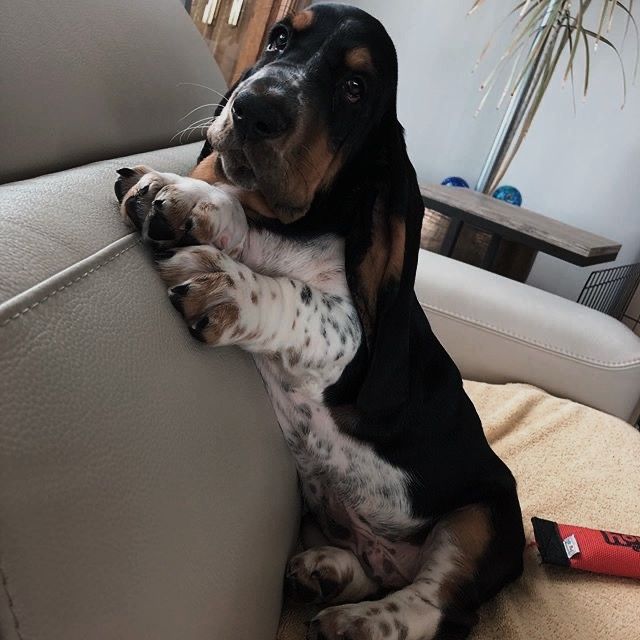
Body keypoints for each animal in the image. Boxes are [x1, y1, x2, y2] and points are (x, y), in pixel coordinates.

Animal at [115, 3, 524, 636]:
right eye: (279, 38)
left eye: (355, 88)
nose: (253, 107)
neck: (297, 225)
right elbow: (234, 210)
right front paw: (178, 193)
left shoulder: (349, 338)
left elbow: (294, 296)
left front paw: (220, 281)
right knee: (377, 570)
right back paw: (326, 572)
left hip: (486, 516)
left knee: (434, 604)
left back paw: (358, 621)